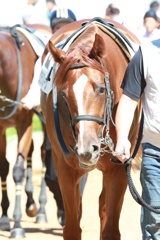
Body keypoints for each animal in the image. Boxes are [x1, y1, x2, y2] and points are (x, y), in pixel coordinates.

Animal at [40, 17, 141, 240]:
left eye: (101, 89)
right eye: (63, 94)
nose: (87, 149)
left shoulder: (118, 168)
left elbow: (110, 228)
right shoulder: (65, 167)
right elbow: (71, 227)